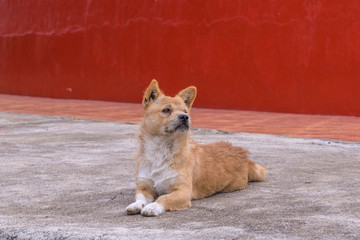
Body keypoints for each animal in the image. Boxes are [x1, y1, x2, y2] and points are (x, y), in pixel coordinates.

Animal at [125, 79, 266, 217]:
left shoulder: (182, 192)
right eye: (166, 110)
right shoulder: (144, 187)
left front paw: (153, 206)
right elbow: (140, 197)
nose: (184, 117)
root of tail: (243, 154)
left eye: (185, 111)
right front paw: (136, 205)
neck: (161, 150)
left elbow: (164, 198)